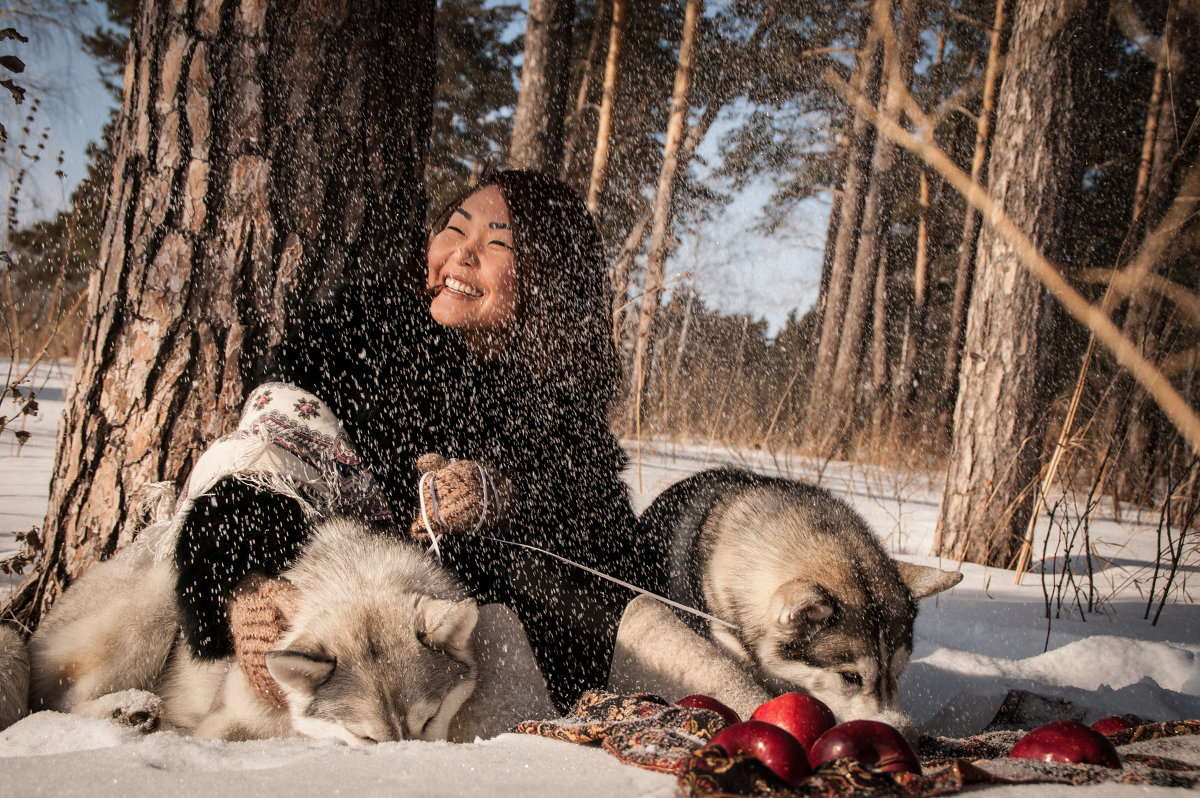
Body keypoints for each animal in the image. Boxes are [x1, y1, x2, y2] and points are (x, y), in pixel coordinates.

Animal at [28, 513, 477, 744]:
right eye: (367, 739)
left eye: (429, 720)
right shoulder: (220, 723)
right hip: (153, 607)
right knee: (57, 703)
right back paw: (126, 710)